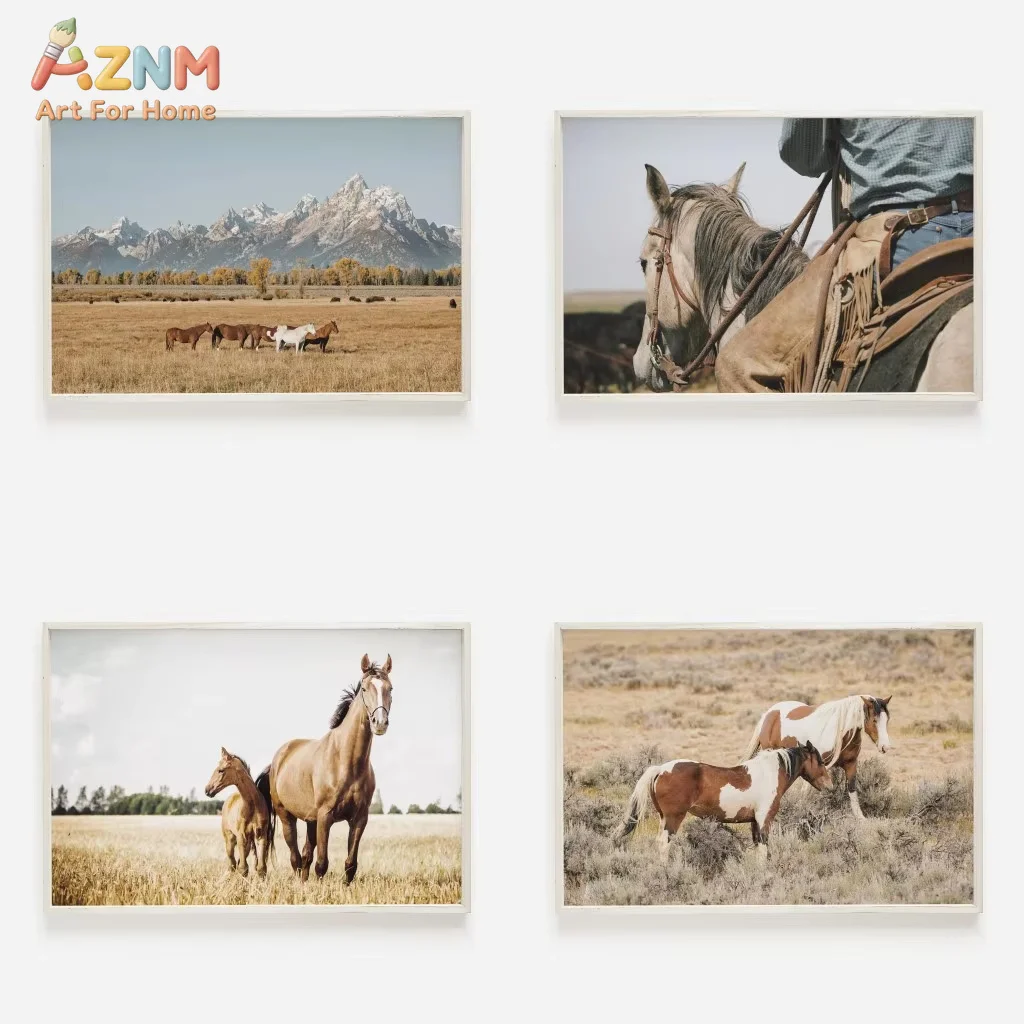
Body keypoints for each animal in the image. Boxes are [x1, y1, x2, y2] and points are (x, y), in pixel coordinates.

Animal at [204, 747, 274, 878]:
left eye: (221, 770)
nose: (207, 790)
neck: (252, 805)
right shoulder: (241, 836)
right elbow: (243, 868)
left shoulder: (260, 835)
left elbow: (261, 868)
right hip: (230, 839)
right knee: (232, 864)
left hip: (248, 843)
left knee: (236, 863)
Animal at [256, 654, 393, 883]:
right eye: (365, 689)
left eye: (390, 689)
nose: (380, 723)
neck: (346, 762)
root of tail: (277, 761)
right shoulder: (325, 816)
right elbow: (321, 864)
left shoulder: (359, 819)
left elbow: (350, 865)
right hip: (287, 816)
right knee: (295, 857)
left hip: (311, 820)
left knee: (305, 856)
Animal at [616, 742, 832, 862]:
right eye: (821, 762)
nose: (829, 786)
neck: (769, 773)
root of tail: (660, 769)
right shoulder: (764, 819)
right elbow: (763, 849)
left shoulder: (754, 822)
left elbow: (757, 848)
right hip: (673, 818)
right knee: (664, 844)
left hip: (664, 818)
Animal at [741, 694, 892, 819]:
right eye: (874, 720)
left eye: (887, 720)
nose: (885, 747)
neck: (840, 731)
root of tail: (770, 713)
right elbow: (807, 791)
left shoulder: (851, 764)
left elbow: (852, 790)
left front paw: (860, 818)